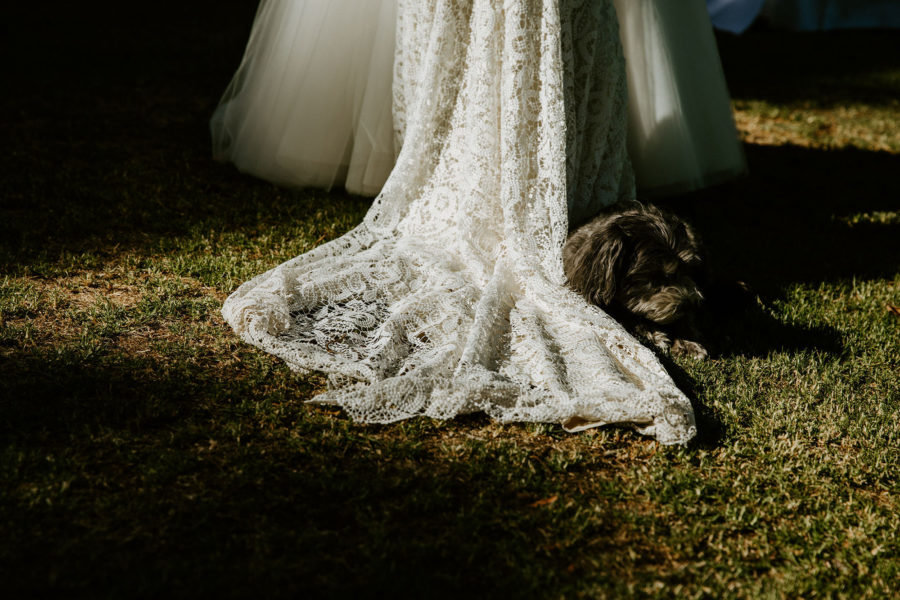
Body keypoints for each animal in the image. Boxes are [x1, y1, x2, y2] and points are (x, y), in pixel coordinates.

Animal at [564, 204, 712, 358]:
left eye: (687, 270)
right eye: (655, 276)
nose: (688, 304)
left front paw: (688, 342)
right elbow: (626, 314)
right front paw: (651, 332)